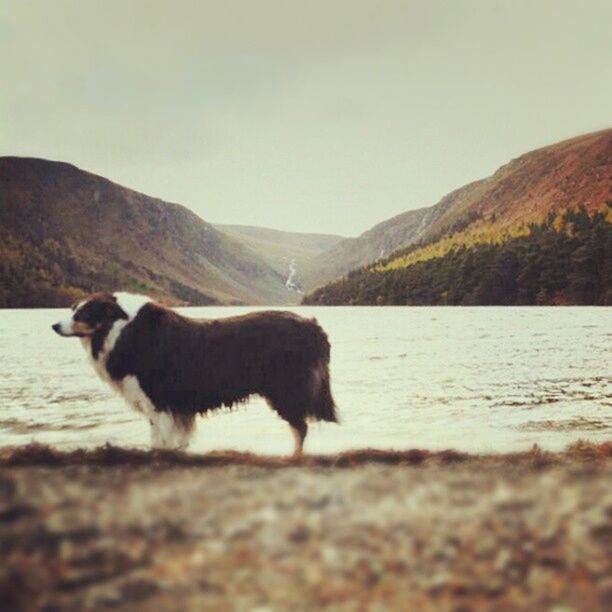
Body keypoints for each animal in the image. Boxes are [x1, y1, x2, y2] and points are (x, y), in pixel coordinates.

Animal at [51, 292, 340, 454]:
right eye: (73, 308)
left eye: (84, 312)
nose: (54, 325)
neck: (119, 328)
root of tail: (313, 325)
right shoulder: (177, 406)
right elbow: (175, 438)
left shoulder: (158, 400)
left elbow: (160, 439)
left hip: (286, 390)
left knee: (300, 427)